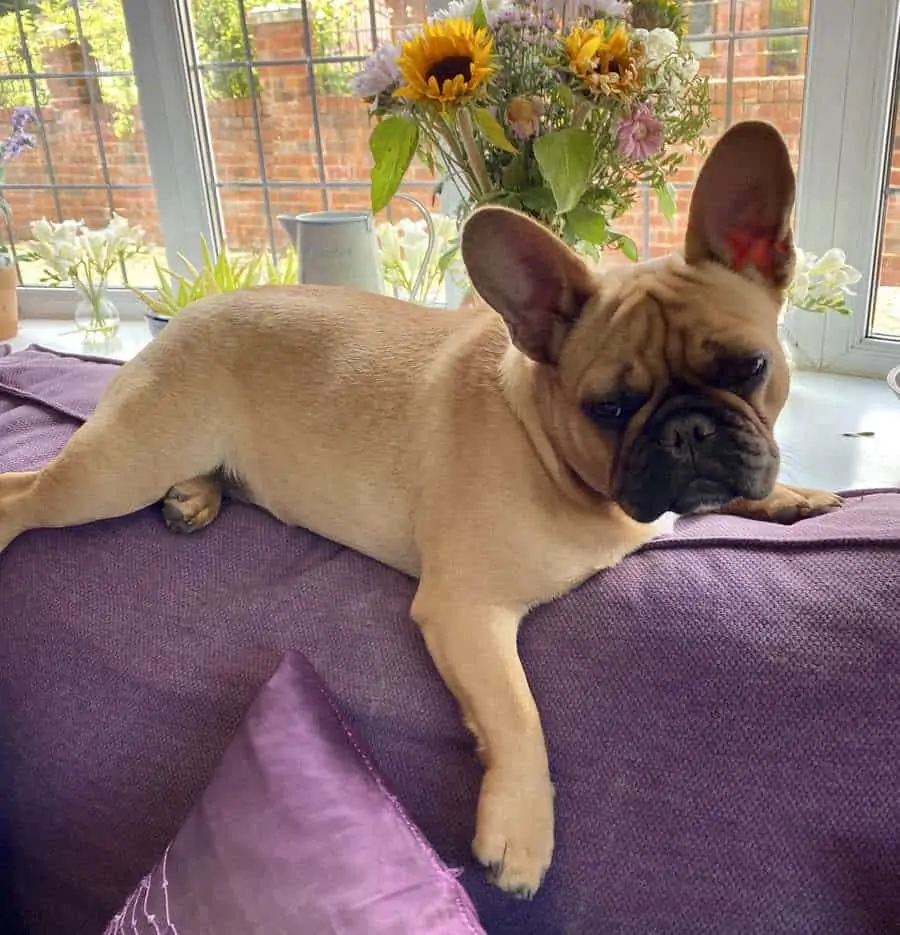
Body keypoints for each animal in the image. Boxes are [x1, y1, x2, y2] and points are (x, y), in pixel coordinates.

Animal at [0, 119, 840, 900]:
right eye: (608, 407)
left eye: (749, 367)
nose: (687, 429)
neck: (549, 447)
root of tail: (188, 316)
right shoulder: (466, 609)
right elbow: (518, 716)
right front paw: (522, 830)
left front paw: (790, 494)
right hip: (116, 470)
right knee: (27, 490)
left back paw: (195, 496)